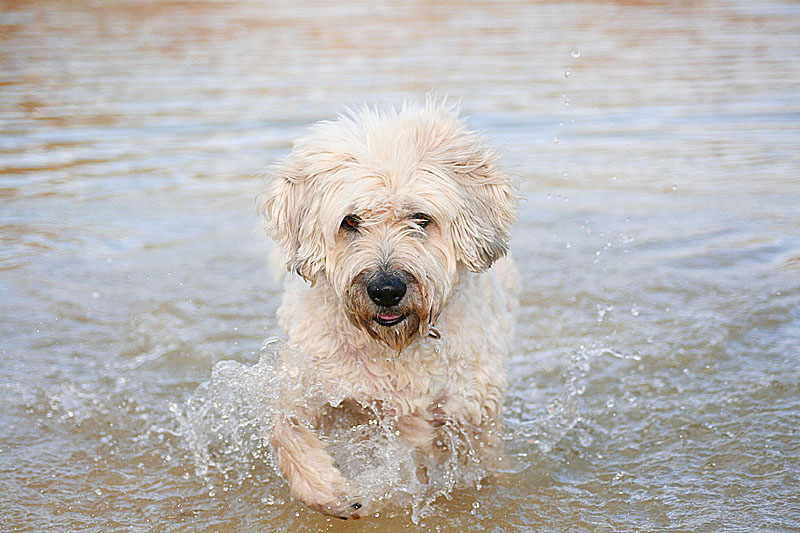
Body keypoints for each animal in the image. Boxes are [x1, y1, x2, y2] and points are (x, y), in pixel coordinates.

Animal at [258, 102, 520, 516]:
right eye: (351, 221)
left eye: (420, 218)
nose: (385, 290)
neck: (393, 346)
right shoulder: (311, 384)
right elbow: (285, 428)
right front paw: (334, 494)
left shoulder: (471, 410)